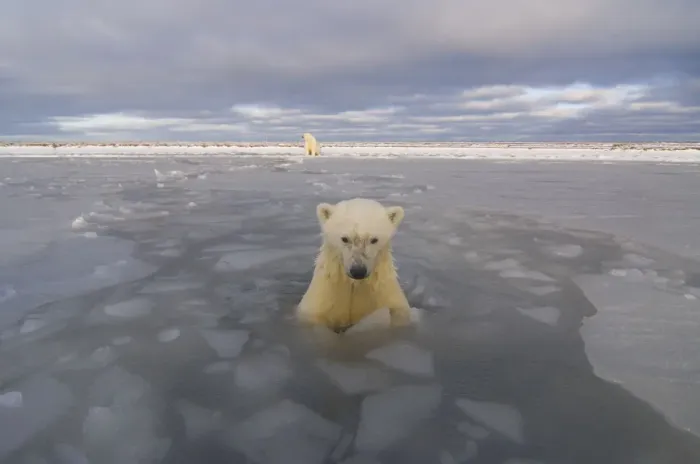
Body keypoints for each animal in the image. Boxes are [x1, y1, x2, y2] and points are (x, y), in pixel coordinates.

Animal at [296, 198, 412, 332]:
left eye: (374, 239)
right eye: (345, 238)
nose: (358, 271)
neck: (354, 285)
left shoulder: (385, 296)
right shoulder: (322, 300)